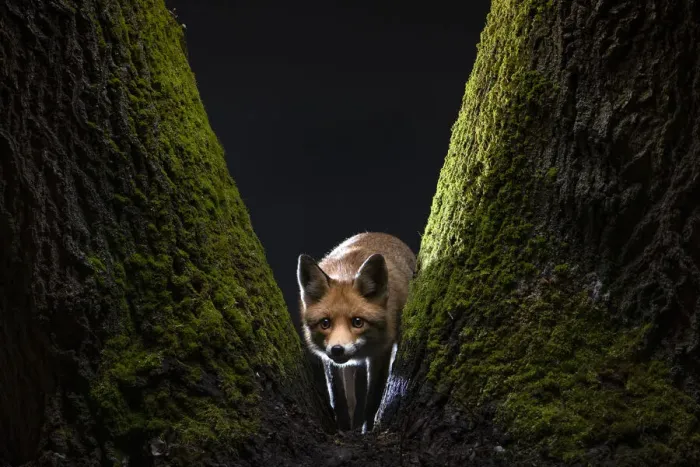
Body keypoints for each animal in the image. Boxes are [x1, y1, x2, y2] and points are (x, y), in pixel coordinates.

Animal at [297, 232, 416, 432]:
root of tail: (381, 233)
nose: (337, 349)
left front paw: (367, 430)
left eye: (358, 322)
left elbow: (372, 400)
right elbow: (339, 400)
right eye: (325, 323)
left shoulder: (381, 353)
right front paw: (343, 429)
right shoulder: (329, 359)